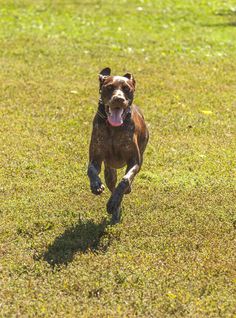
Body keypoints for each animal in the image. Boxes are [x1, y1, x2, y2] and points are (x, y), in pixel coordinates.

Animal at [87, 67, 148, 222]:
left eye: (127, 89)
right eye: (109, 87)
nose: (118, 99)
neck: (114, 128)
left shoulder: (134, 161)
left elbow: (125, 180)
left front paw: (114, 201)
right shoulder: (96, 158)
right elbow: (91, 170)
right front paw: (96, 185)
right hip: (110, 172)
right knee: (112, 185)